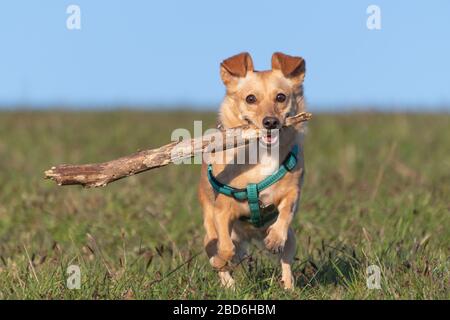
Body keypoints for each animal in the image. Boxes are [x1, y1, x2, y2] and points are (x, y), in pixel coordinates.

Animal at [199, 52, 308, 290]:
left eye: (281, 97)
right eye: (250, 99)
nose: (270, 122)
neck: (261, 154)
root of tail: (251, 234)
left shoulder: (293, 192)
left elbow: (286, 212)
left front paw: (275, 238)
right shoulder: (222, 212)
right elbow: (225, 249)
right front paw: (222, 260)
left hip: (292, 240)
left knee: (286, 259)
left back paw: (288, 285)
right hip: (210, 235)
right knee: (223, 251)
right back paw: (230, 286)